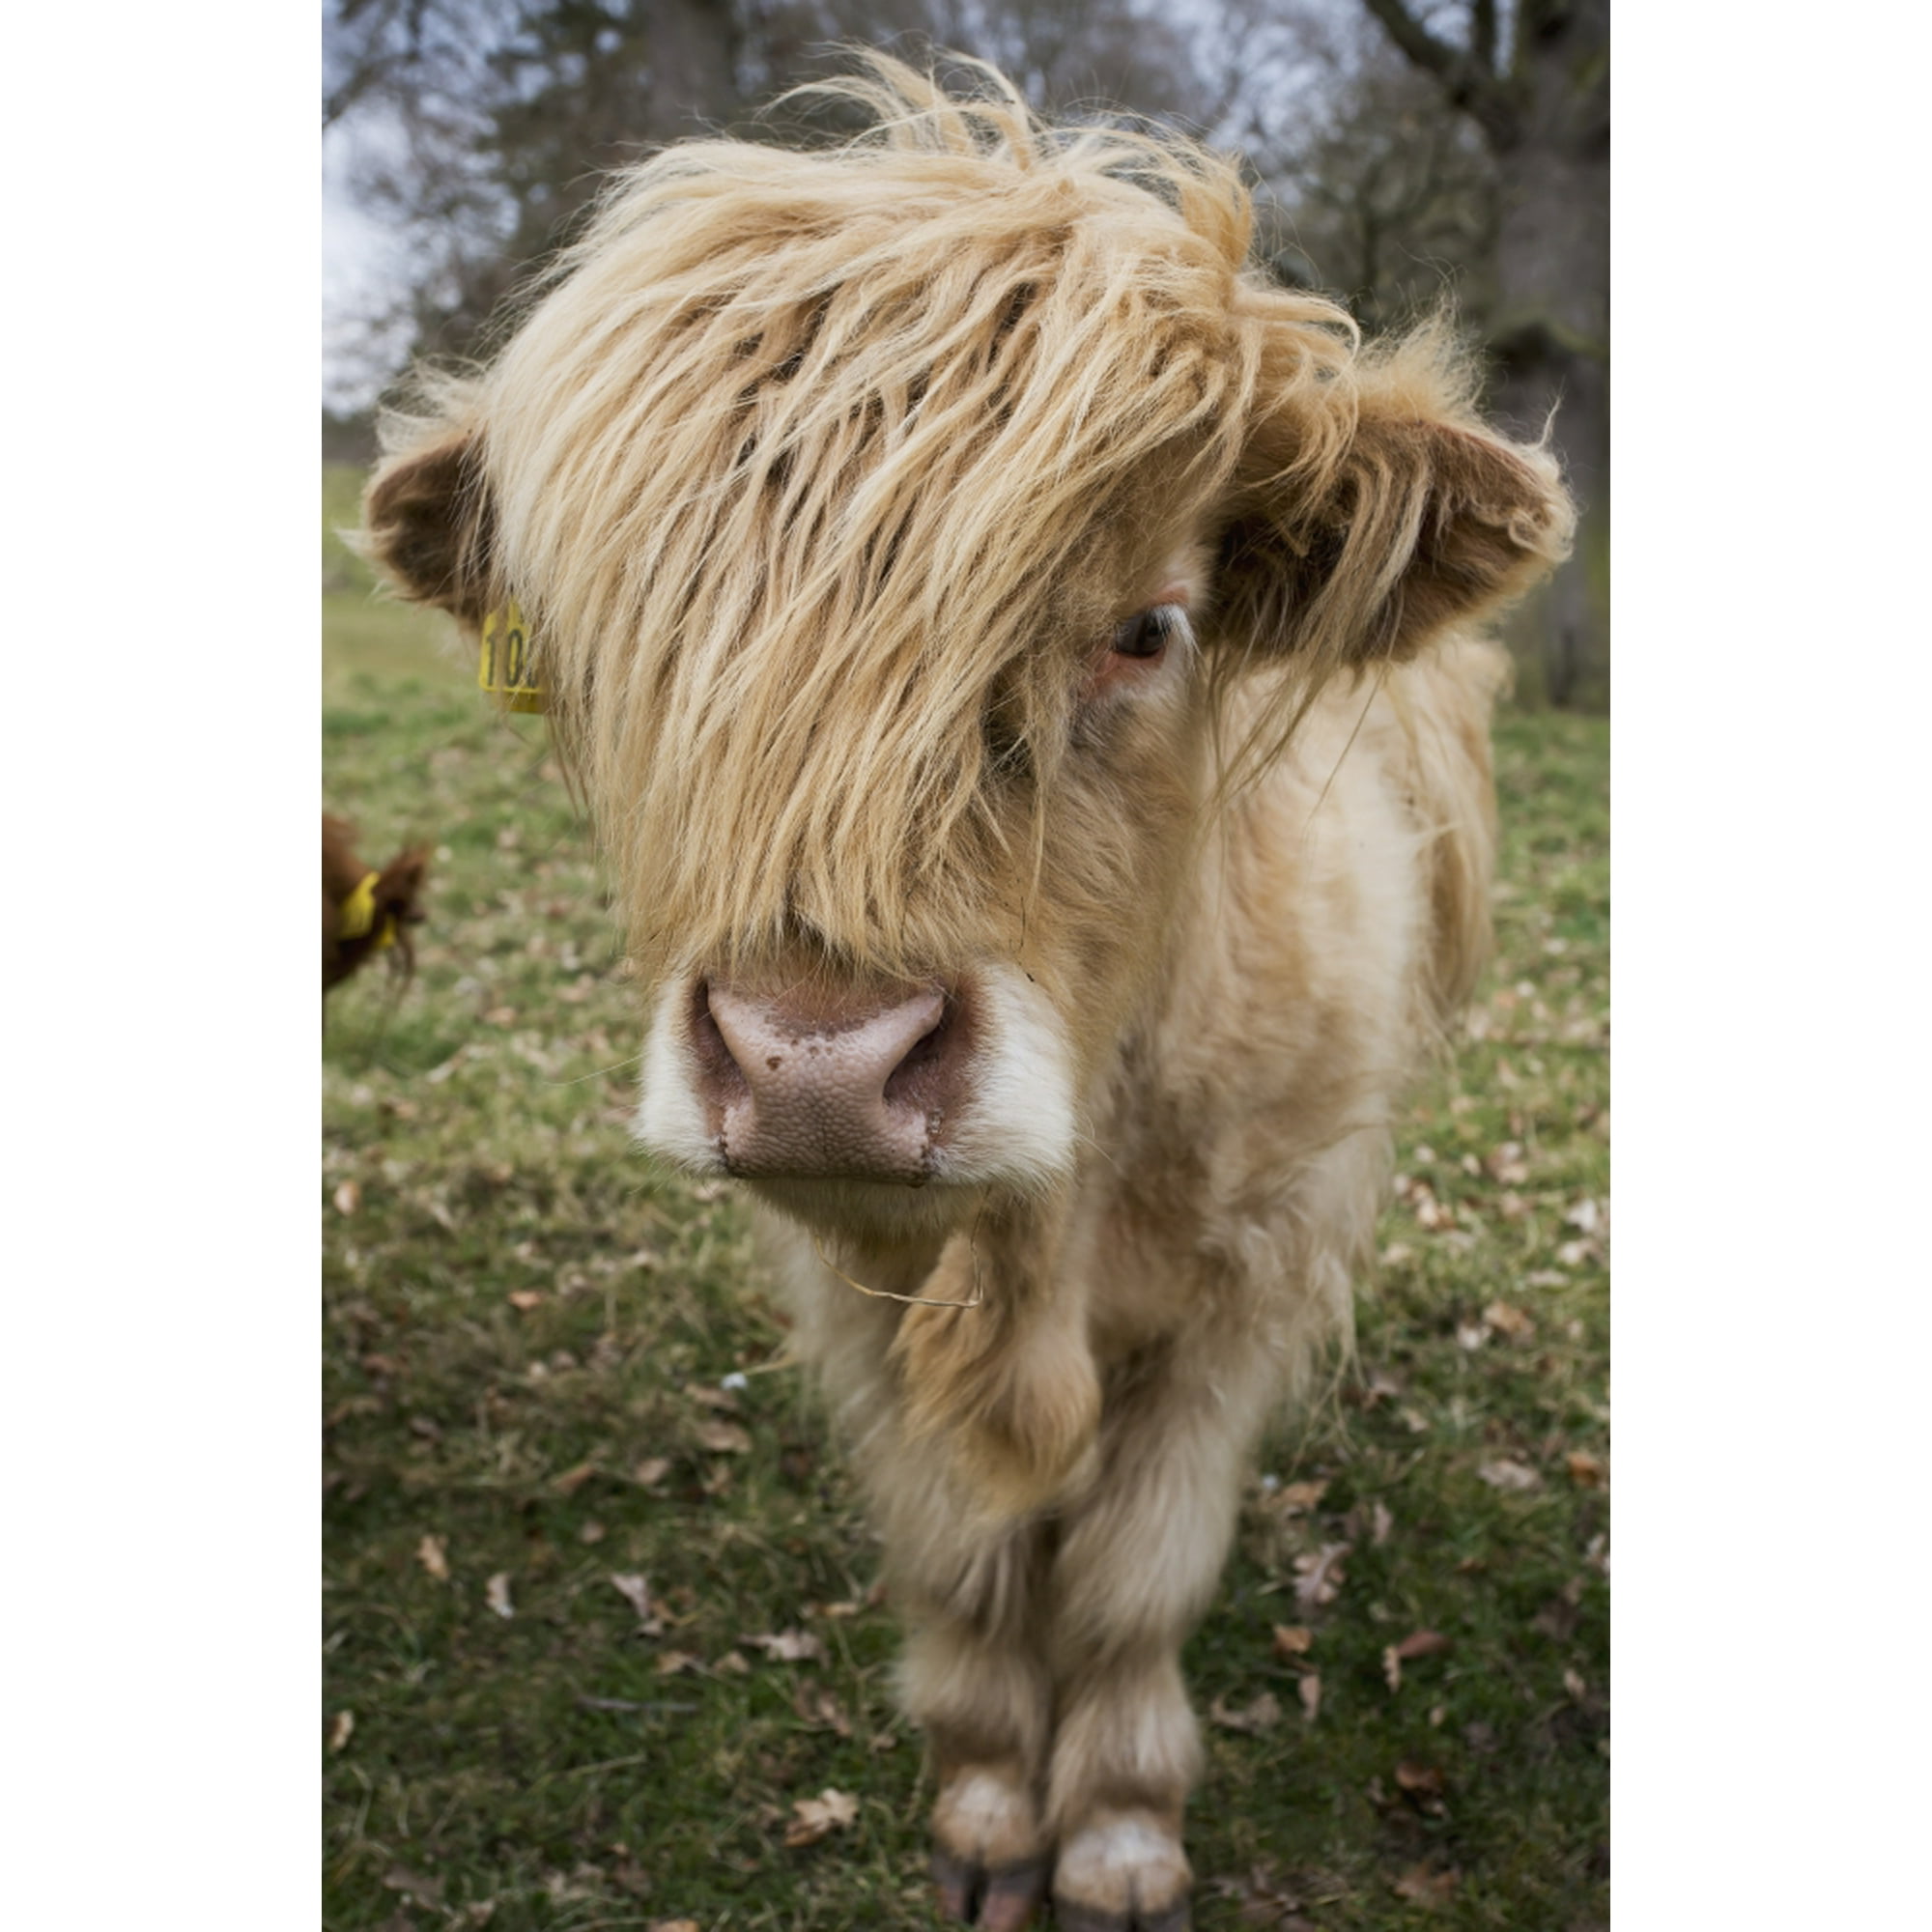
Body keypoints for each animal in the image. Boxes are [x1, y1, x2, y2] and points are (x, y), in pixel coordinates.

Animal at [360, 56, 1571, 1931]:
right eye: (627, 651)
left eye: (1148, 628)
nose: (815, 1066)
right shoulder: (850, 1287)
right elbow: (960, 1560)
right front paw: (993, 1815)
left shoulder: (1258, 1264)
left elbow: (1141, 1571)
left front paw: (1124, 1838)